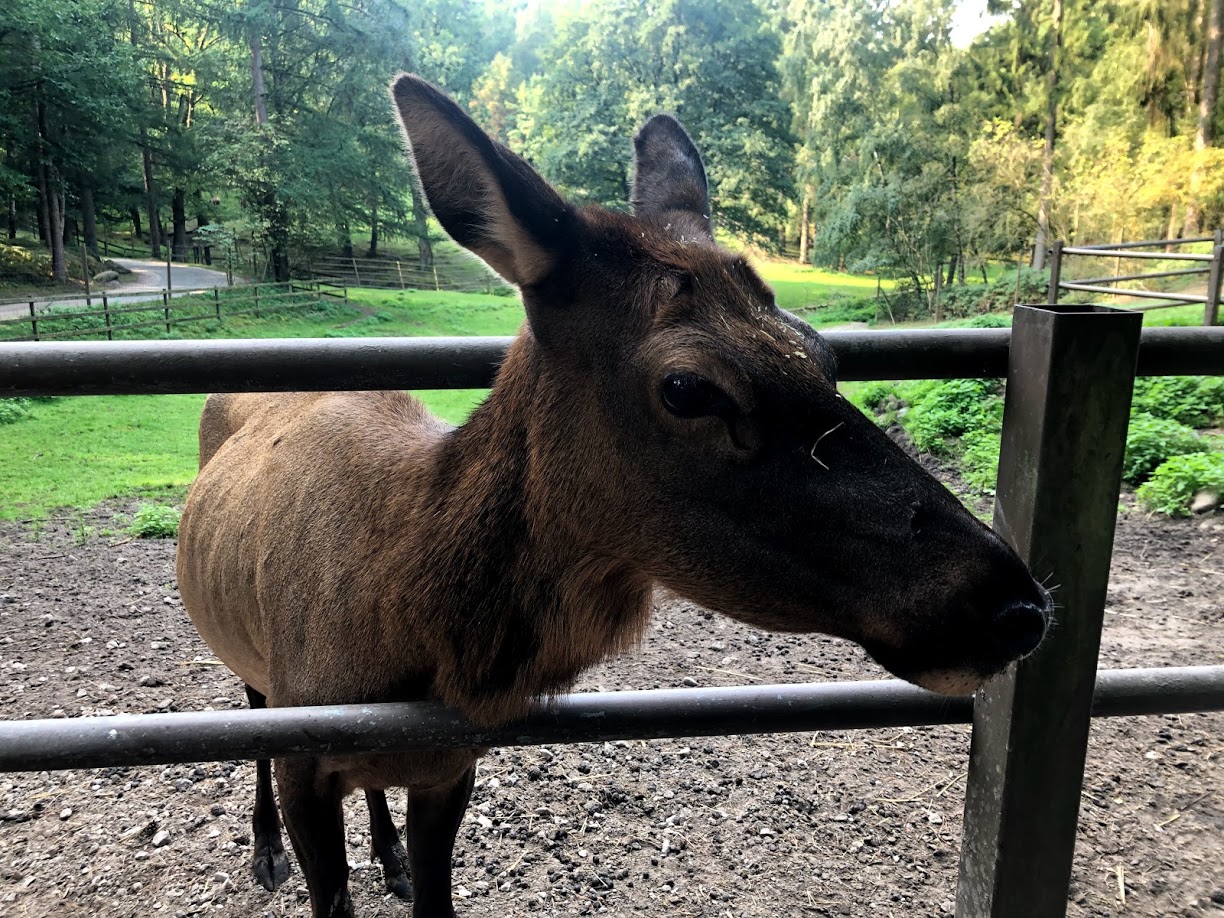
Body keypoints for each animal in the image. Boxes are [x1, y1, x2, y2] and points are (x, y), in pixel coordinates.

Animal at [174, 73, 1053, 918]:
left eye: (819, 349)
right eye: (689, 387)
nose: (1016, 604)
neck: (407, 635)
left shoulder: (452, 765)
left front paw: (399, 862)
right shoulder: (305, 752)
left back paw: (384, 854)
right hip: (248, 660)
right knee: (249, 708)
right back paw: (264, 849)